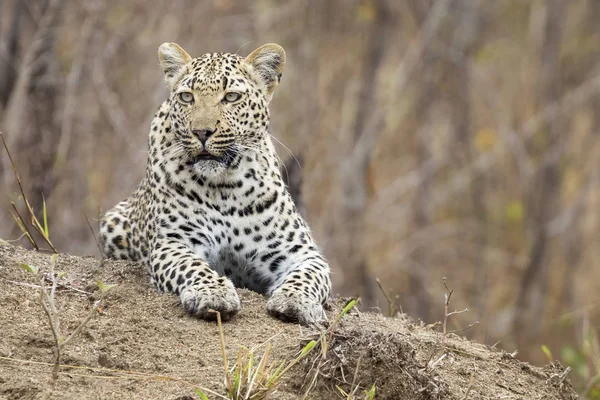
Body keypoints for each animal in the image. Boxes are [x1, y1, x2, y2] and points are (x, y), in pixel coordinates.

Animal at [99, 42, 332, 324]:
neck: (226, 187)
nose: (201, 132)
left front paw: (295, 301)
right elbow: (192, 266)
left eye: (231, 97)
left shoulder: (300, 251)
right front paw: (213, 293)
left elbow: (309, 274)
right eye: (187, 97)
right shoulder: (173, 243)